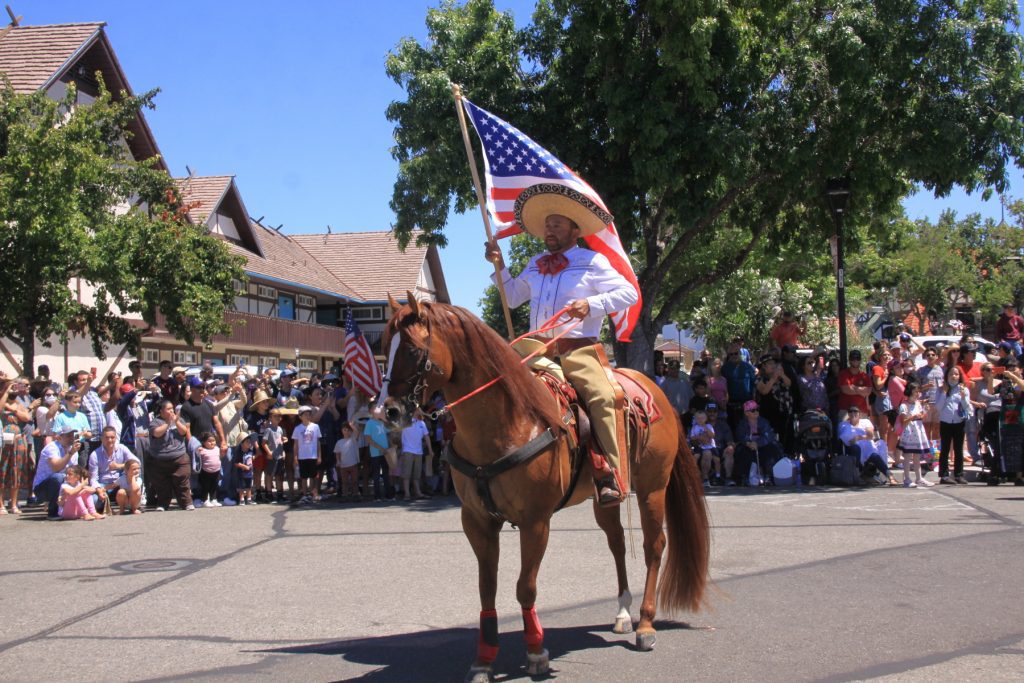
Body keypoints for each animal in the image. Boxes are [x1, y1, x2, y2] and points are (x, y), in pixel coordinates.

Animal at [380, 301, 708, 683]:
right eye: (384, 346)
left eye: (413, 349)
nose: (388, 411)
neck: (507, 423)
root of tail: (654, 391)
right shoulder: (476, 521)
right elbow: (486, 588)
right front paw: (484, 659)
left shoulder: (535, 522)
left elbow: (525, 586)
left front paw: (536, 652)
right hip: (605, 499)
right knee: (617, 544)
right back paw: (624, 614)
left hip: (653, 487)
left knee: (653, 546)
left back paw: (645, 624)